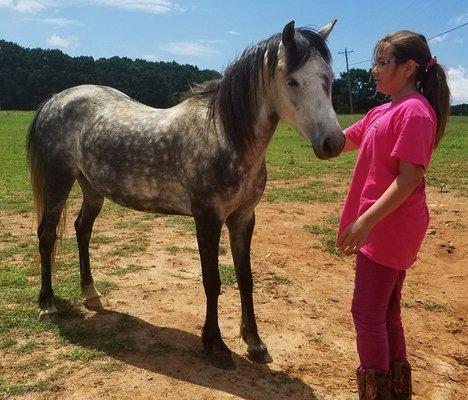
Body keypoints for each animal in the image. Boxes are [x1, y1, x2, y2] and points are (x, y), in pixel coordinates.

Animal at [27, 20, 346, 370]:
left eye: (328, 78)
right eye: (292, 81)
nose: (333, 142)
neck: (224, 135)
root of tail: (53, 101)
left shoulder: (243, 218)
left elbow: (245, 278)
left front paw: (255, 343)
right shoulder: (207, 219)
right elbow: (212, 281)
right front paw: (216, 346)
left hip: (92, 188)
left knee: (82, 230)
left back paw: (91, 295)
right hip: (58, 182)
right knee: (47, 236)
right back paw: (47, 306)